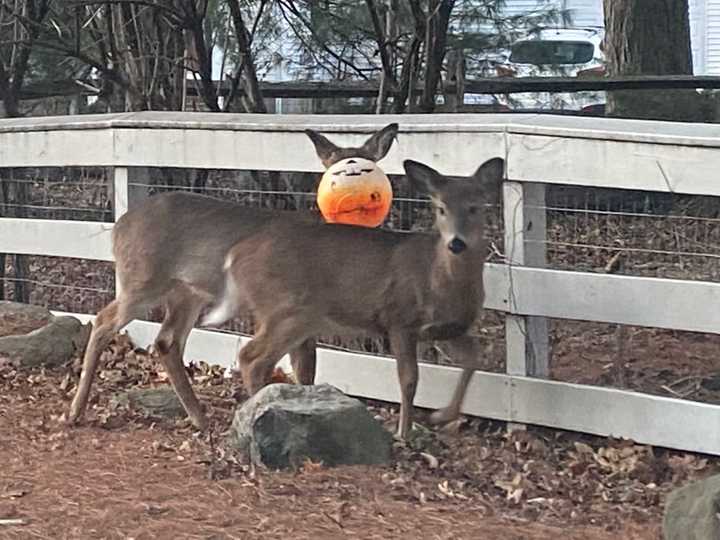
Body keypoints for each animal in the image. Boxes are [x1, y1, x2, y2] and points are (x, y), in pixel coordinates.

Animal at [65, 121, 400, 430]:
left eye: (370, 161)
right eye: (333, 166)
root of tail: (118, 227)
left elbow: (305, 372)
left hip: (186, 292)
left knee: (166, 341)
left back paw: (199, 418)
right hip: (142, 279)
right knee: (104, 321)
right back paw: (74, 411)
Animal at [201, 155, 506, 438]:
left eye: (475, 207)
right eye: (441, 209)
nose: (456, 243)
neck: (438, 278)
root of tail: (235, 256)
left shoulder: (449, 329)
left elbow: (474, 359)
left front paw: (441, 416)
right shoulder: (400, 320)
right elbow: (409, 380)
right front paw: (404, 432)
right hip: (289, 310)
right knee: (251, 357)